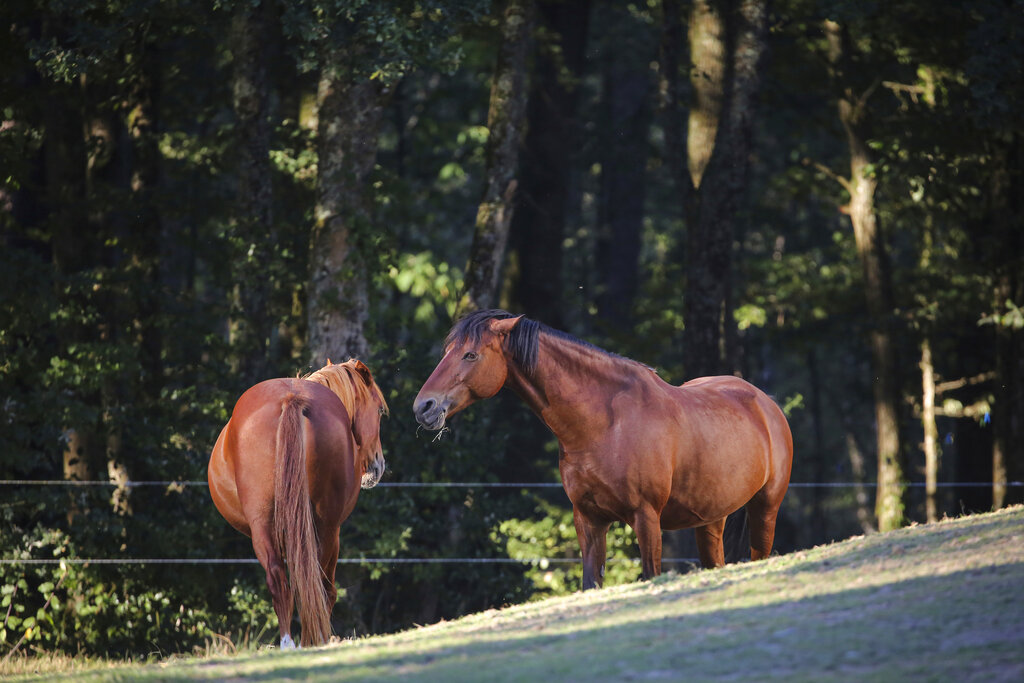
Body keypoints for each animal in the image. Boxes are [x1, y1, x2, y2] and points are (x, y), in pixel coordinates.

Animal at [207, 360, 387, 651]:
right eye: (380, 409)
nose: (377, 465)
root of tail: (291, 399)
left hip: (264, 525)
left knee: (281, 580)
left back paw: (289, 643)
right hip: (327, 528)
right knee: (317, 584)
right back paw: (313, 640)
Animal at [411, 313, 794, 589]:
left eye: (470, 354)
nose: (423, 407)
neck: (603, 425)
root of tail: (765, 403)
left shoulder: (646, 517)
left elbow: (650, 574)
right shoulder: (589, 520)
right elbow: (590, 582)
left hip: (765, 510)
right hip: (711, 519)